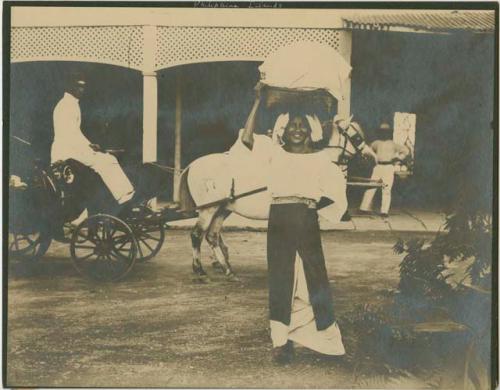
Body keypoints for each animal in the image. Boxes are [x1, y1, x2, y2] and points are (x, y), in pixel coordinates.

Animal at [178, 122, 374, 280]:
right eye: (357, 137)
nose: (371, 158)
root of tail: (192, 165)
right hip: (208, 209)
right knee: (197, 235)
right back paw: (200, 270)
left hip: (223, 208)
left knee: (212, 236)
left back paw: (228, 270)